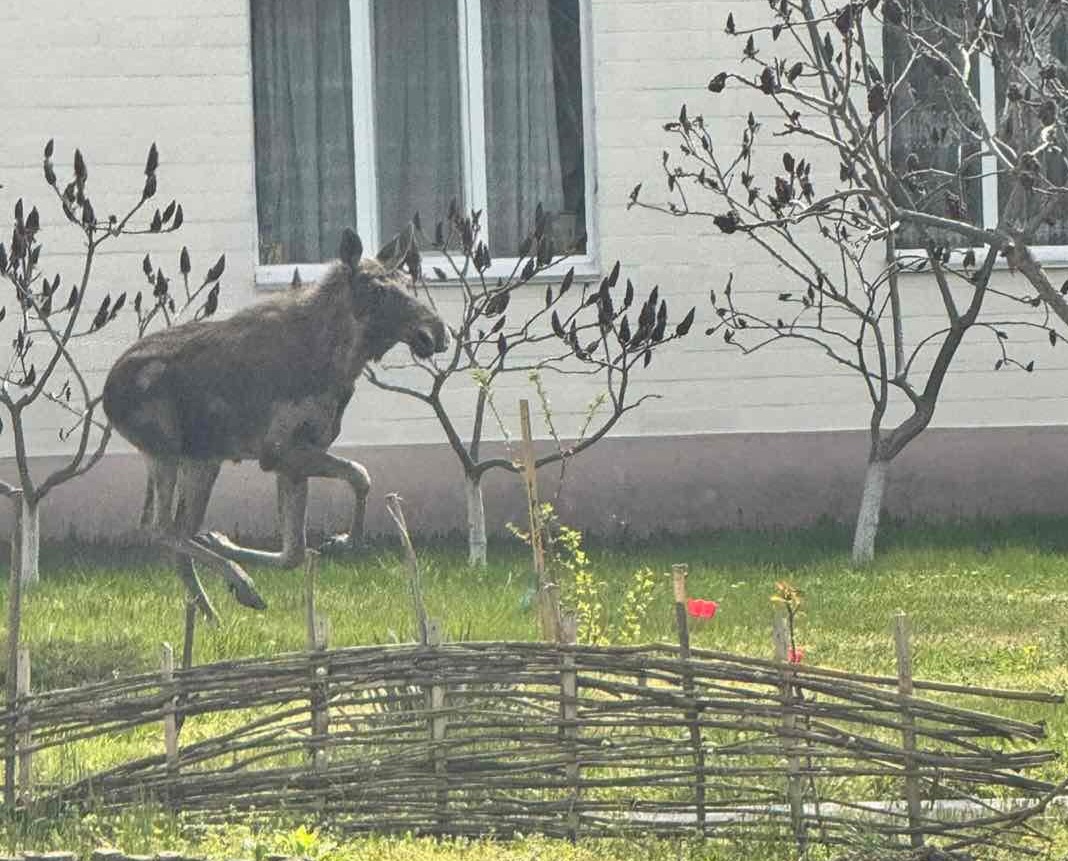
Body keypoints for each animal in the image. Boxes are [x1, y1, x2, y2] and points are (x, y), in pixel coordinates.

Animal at [102, 226, 448, 621]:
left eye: (408, 281)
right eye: (377, 289)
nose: (436, 333)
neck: (341, 362)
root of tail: (107, 394)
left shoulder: (297, 456)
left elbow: (295, 552)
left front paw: (230, 542)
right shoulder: (279, 452)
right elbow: (361, 475)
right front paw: (345, 539)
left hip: (202, 459)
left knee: (181, 530)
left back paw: (211, 610)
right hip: (166, 451)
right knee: (160, 528)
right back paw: (241, 583)